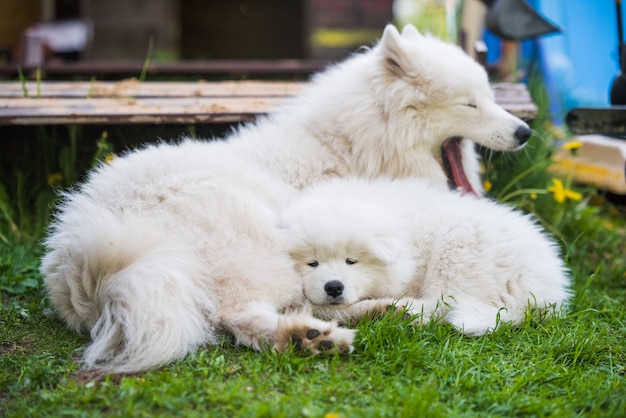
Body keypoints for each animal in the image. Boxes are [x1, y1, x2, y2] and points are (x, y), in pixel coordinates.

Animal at [40, 24, 532, 372]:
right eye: (470, 104)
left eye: (489, 96)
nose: (526, 131)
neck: (346, 146)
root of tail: (81, 257)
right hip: (257, 249)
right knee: (245, 315)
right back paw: (313, 336)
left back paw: (380, 314)